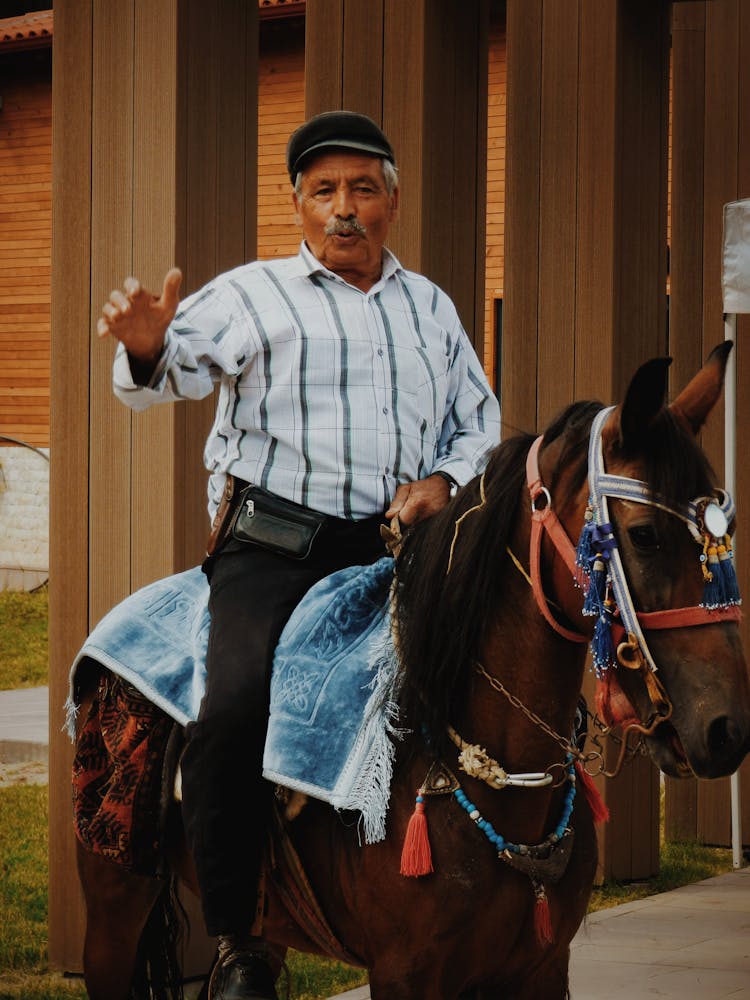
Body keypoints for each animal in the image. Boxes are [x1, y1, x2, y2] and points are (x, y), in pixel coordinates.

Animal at [72, 344, 750, 1000]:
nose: (727, 730)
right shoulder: (406, 974)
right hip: (114, 900)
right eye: (644, 535)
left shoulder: (539, 969)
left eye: (723, 535)